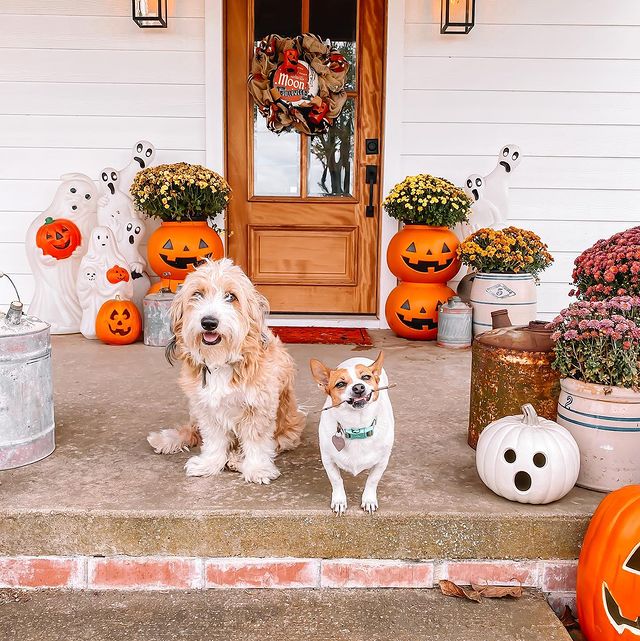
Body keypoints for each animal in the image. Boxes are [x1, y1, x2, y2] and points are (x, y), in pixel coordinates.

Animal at [147, 258, 304, 482]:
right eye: (197, 294)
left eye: (231, 296)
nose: (209, 322)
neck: (221, 360)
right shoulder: (205, 407)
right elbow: (213, 440)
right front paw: (209, 464)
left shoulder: (259, 407)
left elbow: (256, 442)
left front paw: (256, 468)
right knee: (193, 430)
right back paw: (167, 438)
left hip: (288, 428)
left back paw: (237, 459)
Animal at [312, 352, 396, 512]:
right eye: (340, 384)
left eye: (366, 377)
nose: (358, 387)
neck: (357, 427)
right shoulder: (328, 460)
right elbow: (336, 480)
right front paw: (339, 500)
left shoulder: (382, 462)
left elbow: (372, 480)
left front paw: (369, 499)